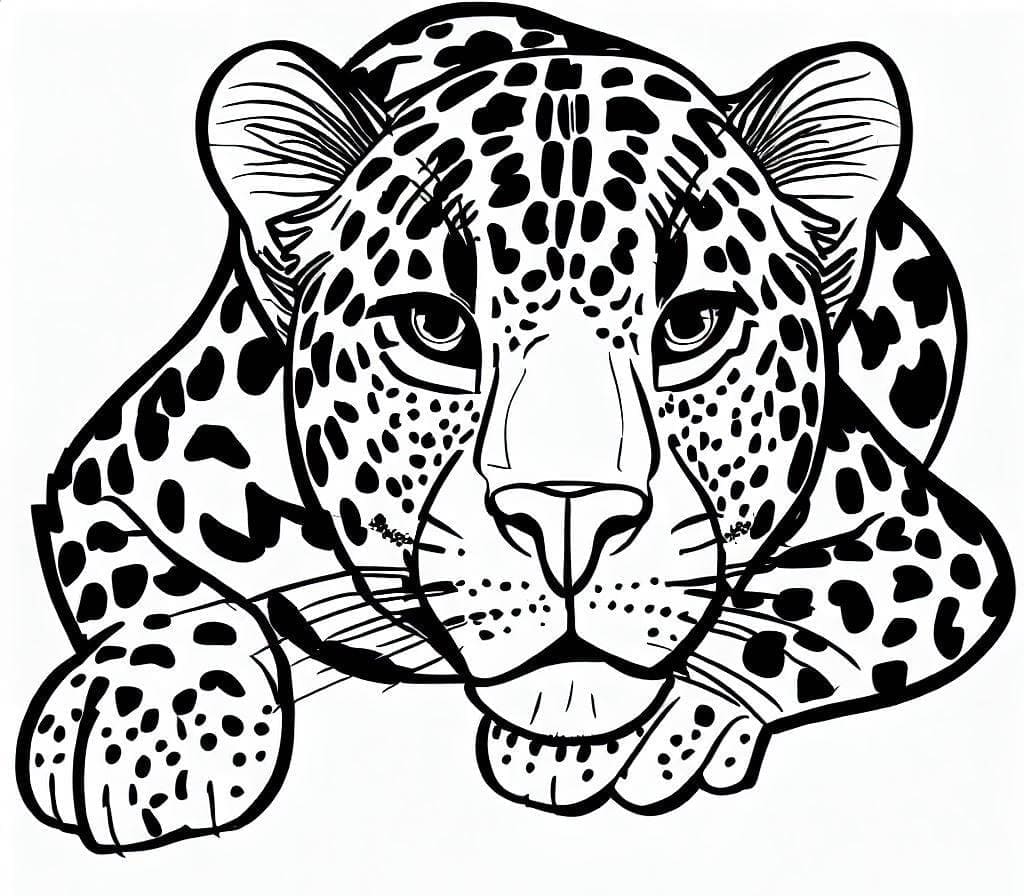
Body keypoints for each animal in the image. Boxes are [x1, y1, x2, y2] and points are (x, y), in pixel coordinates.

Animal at [17, 2, 1014, 851]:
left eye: (693, 322)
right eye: (436, 326)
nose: (569, 516)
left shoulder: (935, 539)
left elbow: (806, 605)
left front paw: (659, 724)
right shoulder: (102, 473)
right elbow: (153, 586)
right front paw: (142, 721)